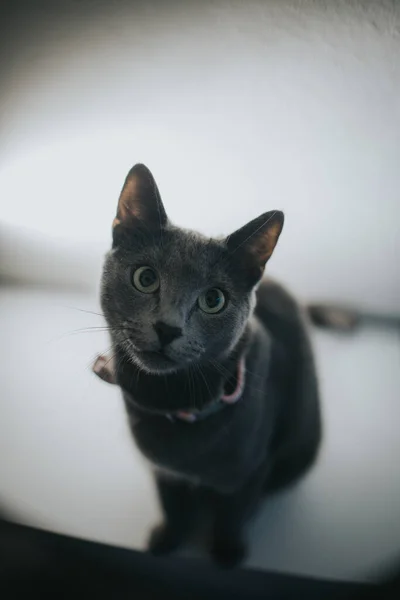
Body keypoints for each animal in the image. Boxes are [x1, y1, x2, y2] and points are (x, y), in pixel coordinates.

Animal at [99, 164, 322, 568]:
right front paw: (167, 539)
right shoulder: (164, 472)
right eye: (145, 277)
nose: (168, 327)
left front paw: (227, 552)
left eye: (213, 300)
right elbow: (171, 504)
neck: (173, 400)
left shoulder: (252, 469)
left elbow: (234, 511)